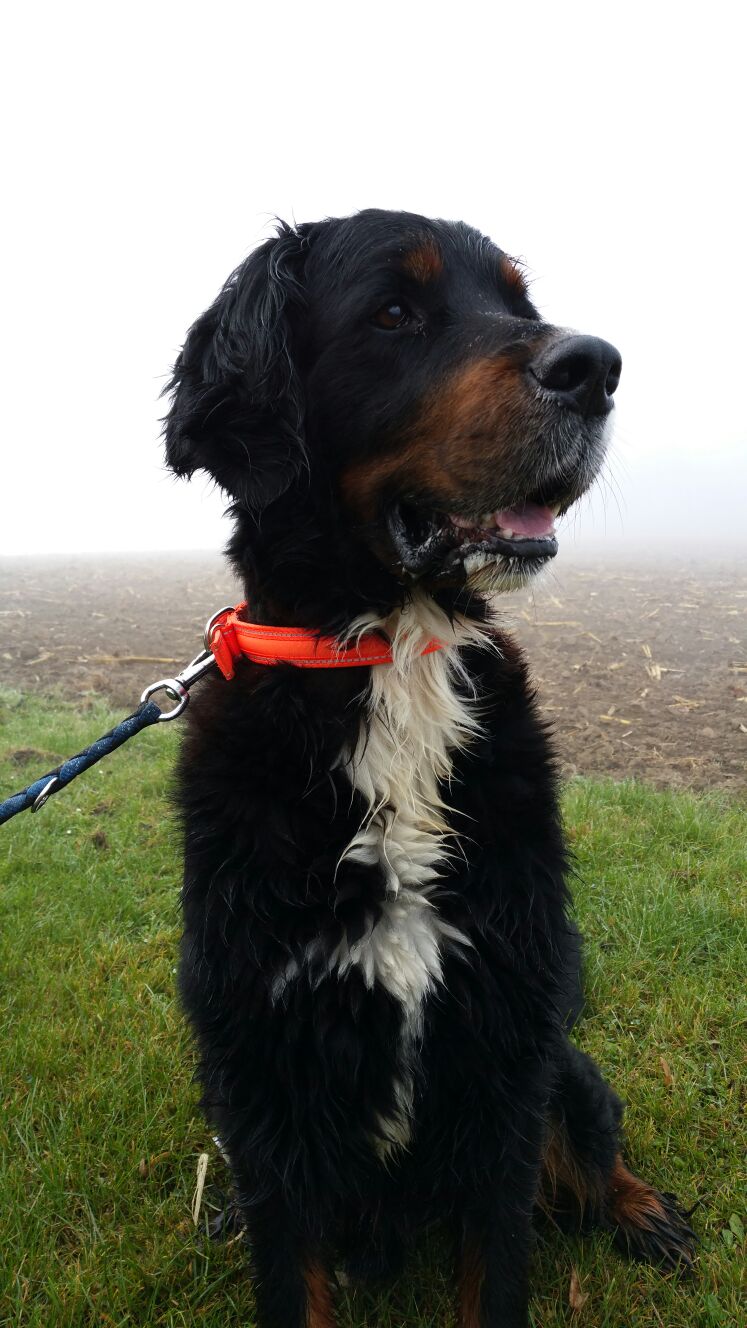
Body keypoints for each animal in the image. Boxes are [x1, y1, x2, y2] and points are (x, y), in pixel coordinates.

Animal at [164, 209, 694, 1327]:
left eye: (519, 304)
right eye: (394, 312)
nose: (597, 367)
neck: (390, 652)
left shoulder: (505, 1038)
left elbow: (497, 1263)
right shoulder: (265, 1068)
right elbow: (292, 1269)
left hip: (560, 1055)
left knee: (593, 1139)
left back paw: (642, 1212)